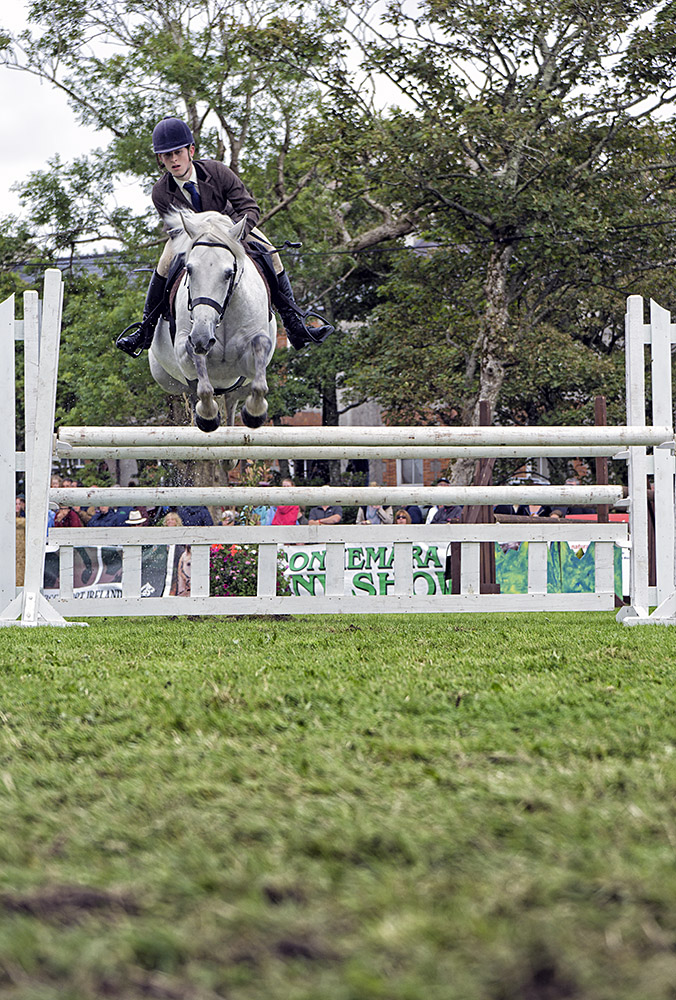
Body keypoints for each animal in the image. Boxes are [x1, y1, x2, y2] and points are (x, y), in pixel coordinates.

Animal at [147, 209, 274, 432]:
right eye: (189, 269)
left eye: (229, 273)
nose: (202, 337)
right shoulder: (186, 344)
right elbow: (200, 377)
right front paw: (207, 416)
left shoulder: (251, 355)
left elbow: (259, 365)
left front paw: (254, 413)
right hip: (168, 378)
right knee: (192, 392)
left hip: (236, 390)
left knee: (232, 403)